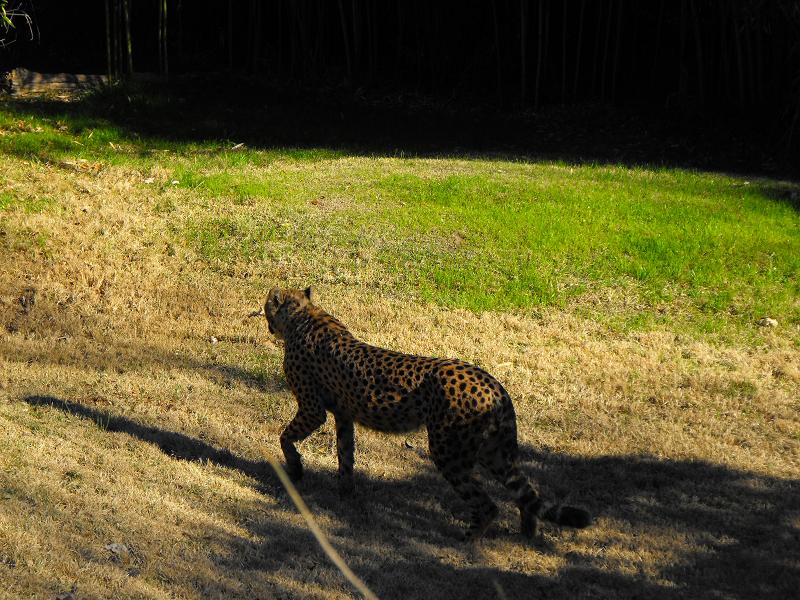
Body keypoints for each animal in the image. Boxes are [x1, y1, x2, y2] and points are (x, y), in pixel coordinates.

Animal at [263, 286, 591, 541]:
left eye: (267, 305)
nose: (265, 316)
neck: (304, 314)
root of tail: (494, 385)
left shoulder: (313, 409)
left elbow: (285, 437)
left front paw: (295, 469)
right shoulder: (344, 415)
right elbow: (345, 455)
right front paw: (345, 492)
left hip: (449, 450)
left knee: (487, 503)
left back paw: (466, 540)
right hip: (493, 450)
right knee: (525, 492)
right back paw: (528, 532)